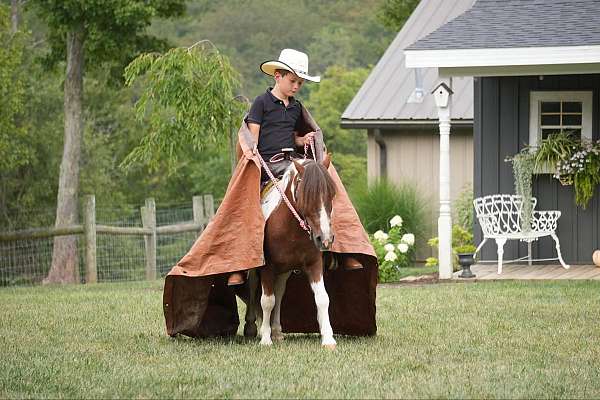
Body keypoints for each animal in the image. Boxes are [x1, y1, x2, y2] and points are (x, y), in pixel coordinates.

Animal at [243, 155, 338, 348]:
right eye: (307, 195)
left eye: (331, 194)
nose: (325, 239)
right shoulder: (267, 267)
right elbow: (267, 301)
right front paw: (265, 338)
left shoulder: (314, 264)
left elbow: (322, 298)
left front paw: (328, 338)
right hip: (258, 268)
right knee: (253, 288)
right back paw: (251, 328)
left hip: (284, 270)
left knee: (279, 293)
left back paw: (277, 331)